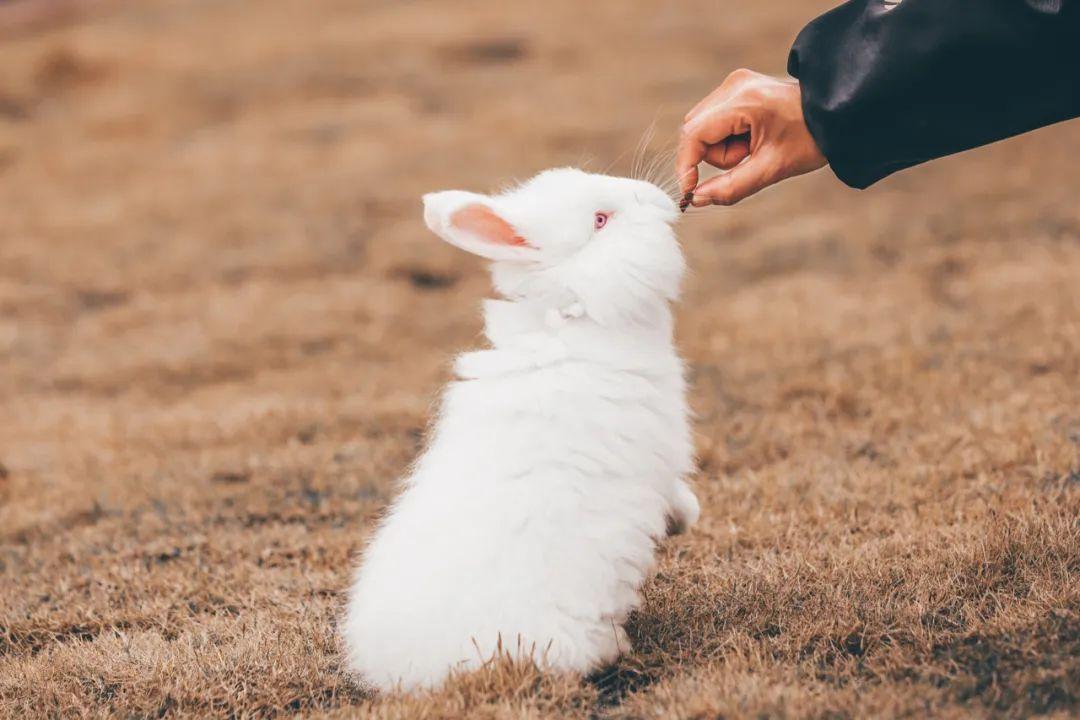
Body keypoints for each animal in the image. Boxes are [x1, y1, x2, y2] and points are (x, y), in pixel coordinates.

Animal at [341, 167, 704, 690]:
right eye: (600, 220)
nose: (659, 198)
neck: (575, 313)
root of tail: (411, 673)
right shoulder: (659, 450)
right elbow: (672, 493)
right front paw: (686, 519)